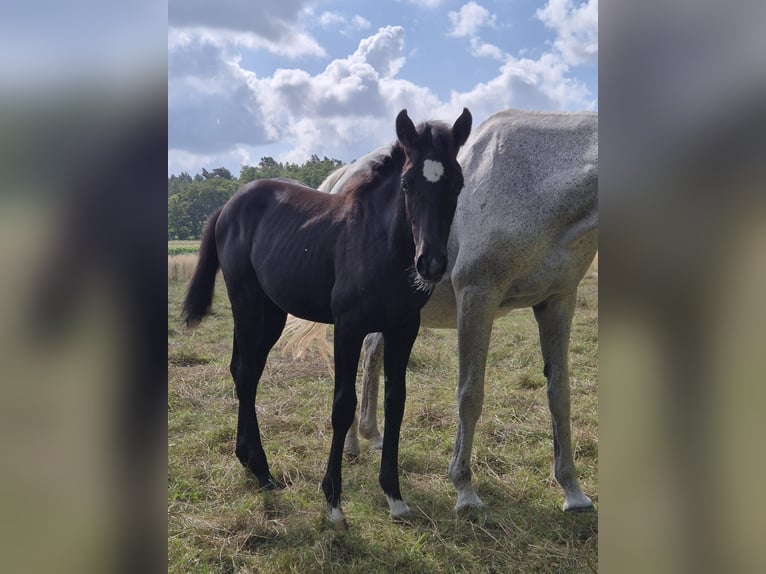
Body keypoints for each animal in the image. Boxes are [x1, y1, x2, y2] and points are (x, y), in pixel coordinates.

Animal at [181, 108, 472, 529]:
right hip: (246, 303)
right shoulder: (348, 328)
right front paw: (333, 501)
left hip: (271, 312)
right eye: (407, 182)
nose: (430, 264)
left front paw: (394, 495)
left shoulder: (404, 329)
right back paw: (262, 469)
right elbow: (342, 404)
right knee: (246, 373)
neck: (378, 244)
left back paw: (252, 464)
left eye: (458, 182)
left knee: (243, 370)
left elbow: (396, 403)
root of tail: (228, 205)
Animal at [284, 108, 597, 513]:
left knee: (370, 354)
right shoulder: (477, 296)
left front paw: (572, 491)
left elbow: (559, 394)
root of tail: (341, 179)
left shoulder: (558, 300)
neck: (537, 179)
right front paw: (464, 489)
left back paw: (365, 437)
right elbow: (470, 394)